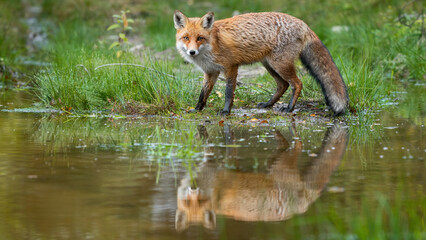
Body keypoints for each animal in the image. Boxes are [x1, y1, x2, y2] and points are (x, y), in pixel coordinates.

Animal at [174, 10, 350, 116]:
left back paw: (289, 108)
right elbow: (203, 94)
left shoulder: (231, 67)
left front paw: (225, 111)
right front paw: (197, 109)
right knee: (283, 85)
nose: (192, 52)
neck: (211, 46)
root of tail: (303, 23)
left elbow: (228, 92)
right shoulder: (210, 72)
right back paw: (268, 104)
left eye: (200, 38)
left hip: (280, 65)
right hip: (270, 66)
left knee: (297, 83)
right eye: (186, 38)